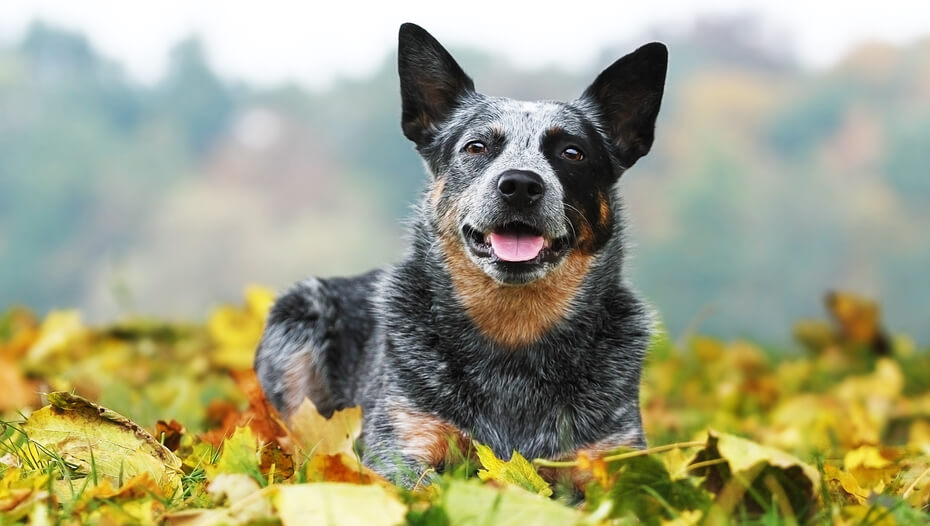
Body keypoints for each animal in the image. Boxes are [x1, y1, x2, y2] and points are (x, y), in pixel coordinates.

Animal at [254, 23, 668, 486]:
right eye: (476, 146)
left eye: (572, 152)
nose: (520, 184)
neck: (514, 336)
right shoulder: (401, 447)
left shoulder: (613, 457)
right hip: (297, 319)